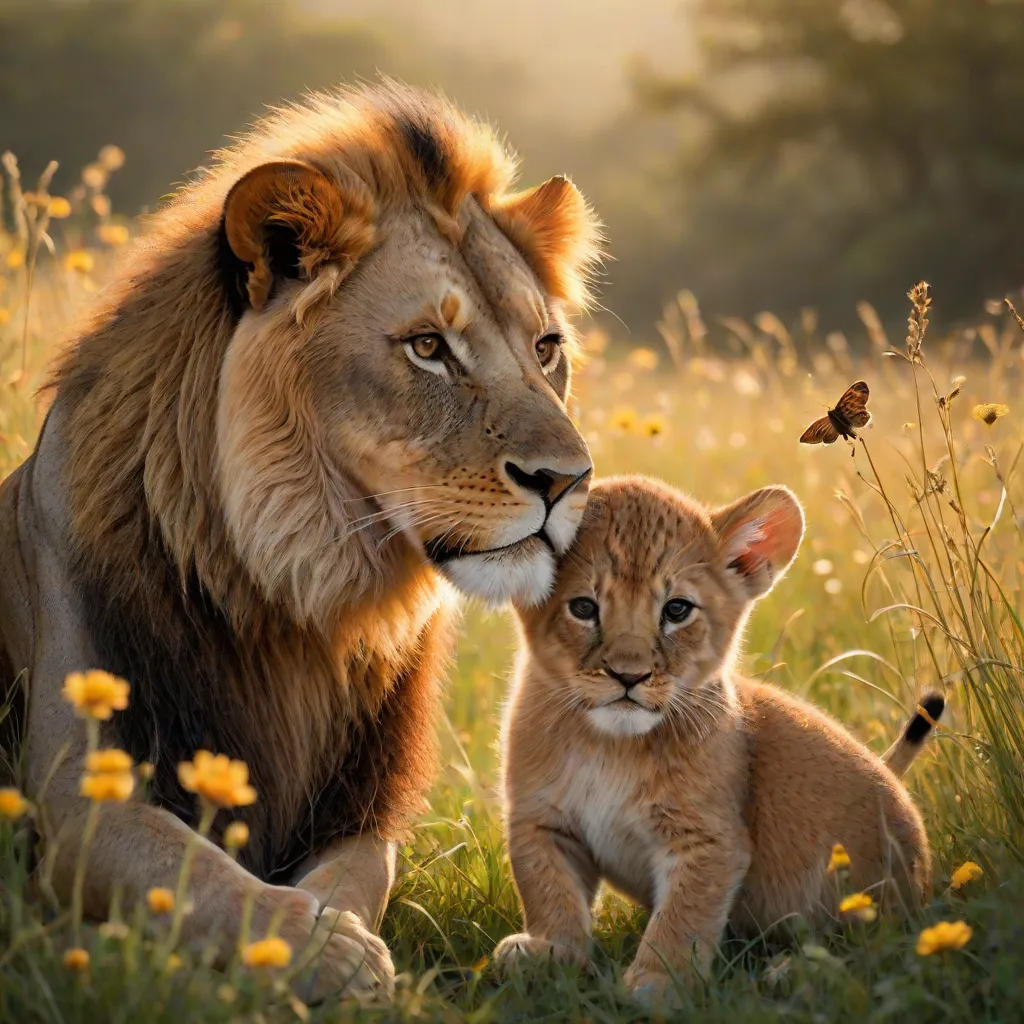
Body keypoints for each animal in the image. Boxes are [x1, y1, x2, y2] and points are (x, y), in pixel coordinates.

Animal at [0, 81, 599, 997]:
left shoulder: (362, 806)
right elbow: (203, 876)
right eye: (429, 347)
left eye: (546, 348)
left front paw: (340, 942)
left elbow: (352, 883)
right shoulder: (79, 798)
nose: (569, 480)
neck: (297, 584)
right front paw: (324, 951)